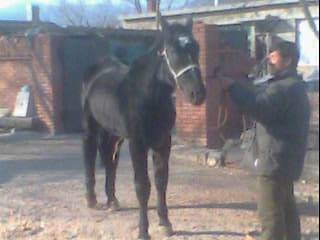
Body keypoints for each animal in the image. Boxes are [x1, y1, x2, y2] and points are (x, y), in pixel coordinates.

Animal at [82, 17, 205, 240]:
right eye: (172, 51)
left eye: (196, 47)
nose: (198, 93)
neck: (147, 96)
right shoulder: (138, 144)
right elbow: (142, 186)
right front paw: (143, 230)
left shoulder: (163, 142)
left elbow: (161, 181)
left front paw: (165, 223)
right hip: (91, 127)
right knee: (89, 156)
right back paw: (91, 199)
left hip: (113, 133)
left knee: (110, 162)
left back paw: (112, 201)